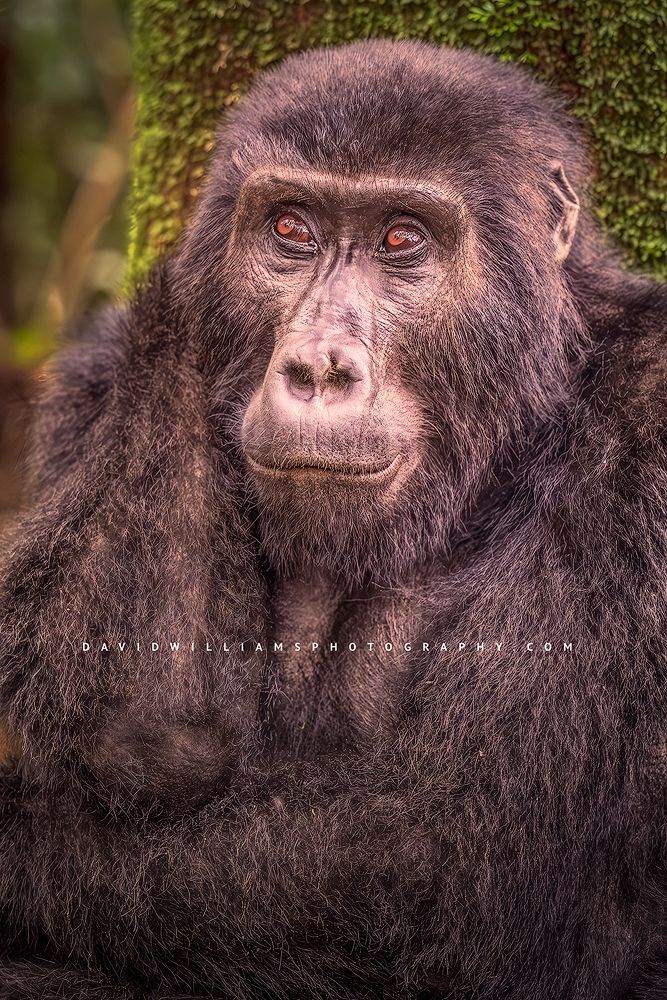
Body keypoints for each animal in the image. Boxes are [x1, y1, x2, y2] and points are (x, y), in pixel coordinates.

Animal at [0, 38, 664, 1000]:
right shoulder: (92, 389)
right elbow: (147, 733)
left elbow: (447, 863)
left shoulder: (650, 421)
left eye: (400, 240)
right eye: (290, 231)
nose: (316, 367)